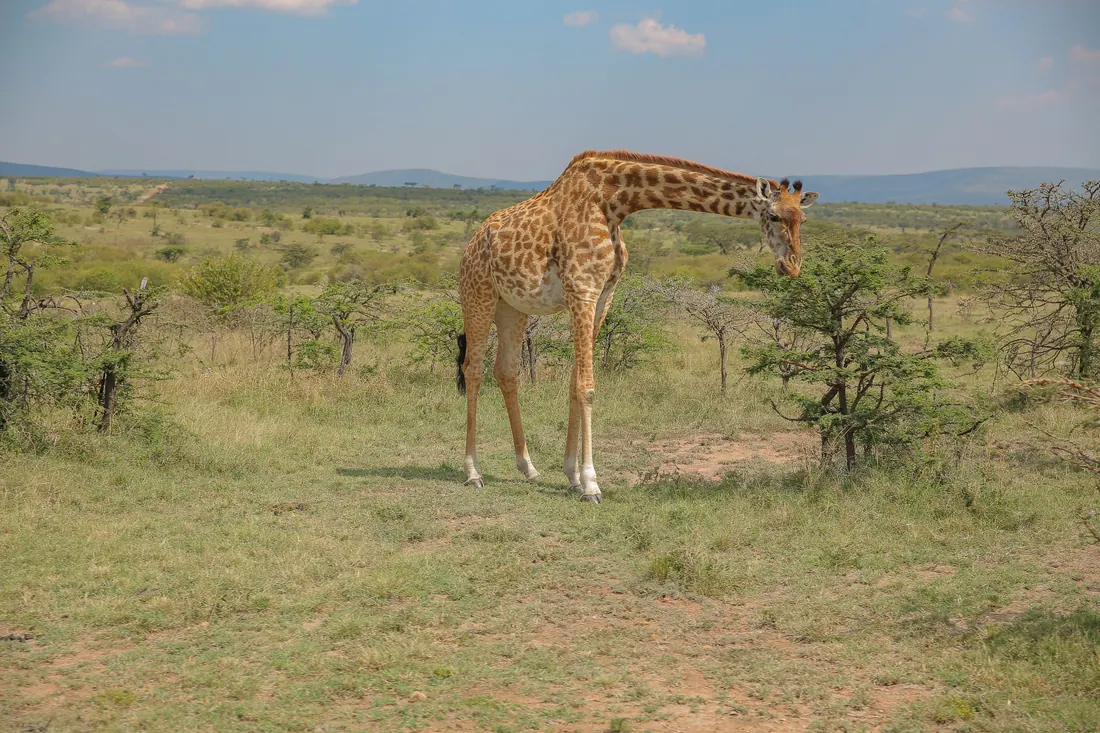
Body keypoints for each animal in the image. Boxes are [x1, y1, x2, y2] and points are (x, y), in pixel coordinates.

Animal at [455, 149, 819, 503]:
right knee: (473, 368)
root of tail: (474, 239)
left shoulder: (603, 295)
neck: (614, 203)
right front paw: (591, 484)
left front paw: (572, 477)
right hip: (478, 294)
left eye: (802, 219)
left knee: (506, 371)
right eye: (774, 216)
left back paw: (528, 468)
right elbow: (586, 386)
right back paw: (473, 472)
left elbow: (574, 382)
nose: (792, 266)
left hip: (512, 307)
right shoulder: (582, 291)